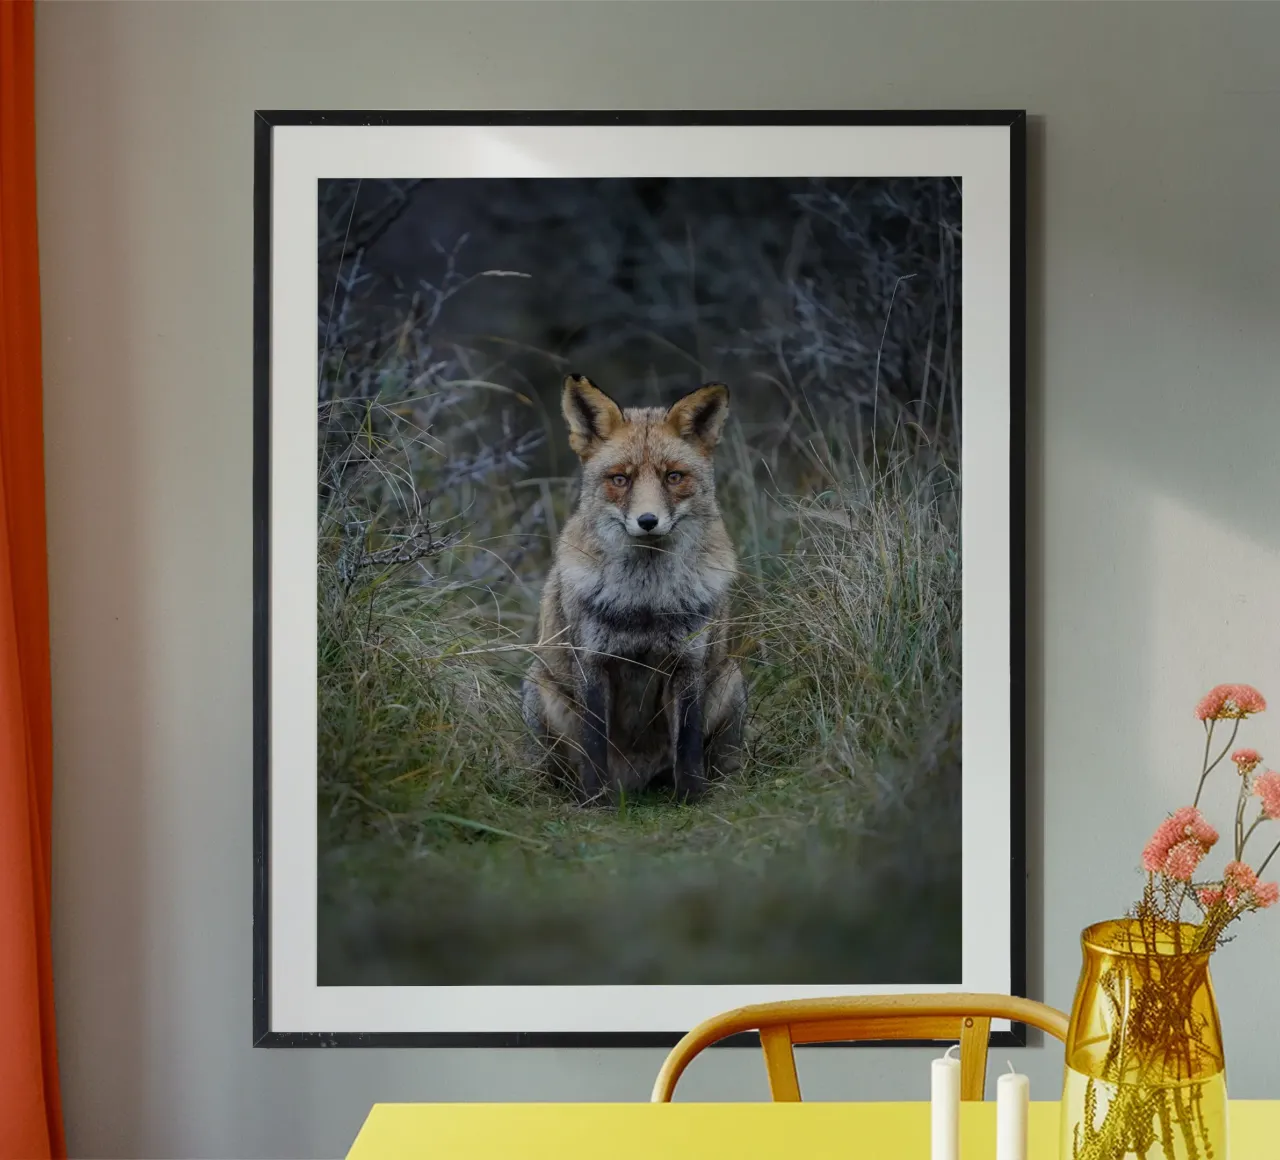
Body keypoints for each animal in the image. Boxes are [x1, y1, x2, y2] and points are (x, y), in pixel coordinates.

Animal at [521, 374, 747, 804]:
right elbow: (594, 746)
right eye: (620, 479)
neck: (645, 602)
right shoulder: (592, 662)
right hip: (540, 690)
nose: (647, 521)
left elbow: (688, 746)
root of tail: (636, 781)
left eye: (673, 477)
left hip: (730, 677)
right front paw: (596, 805)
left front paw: (691, 799)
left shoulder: (688, 662)